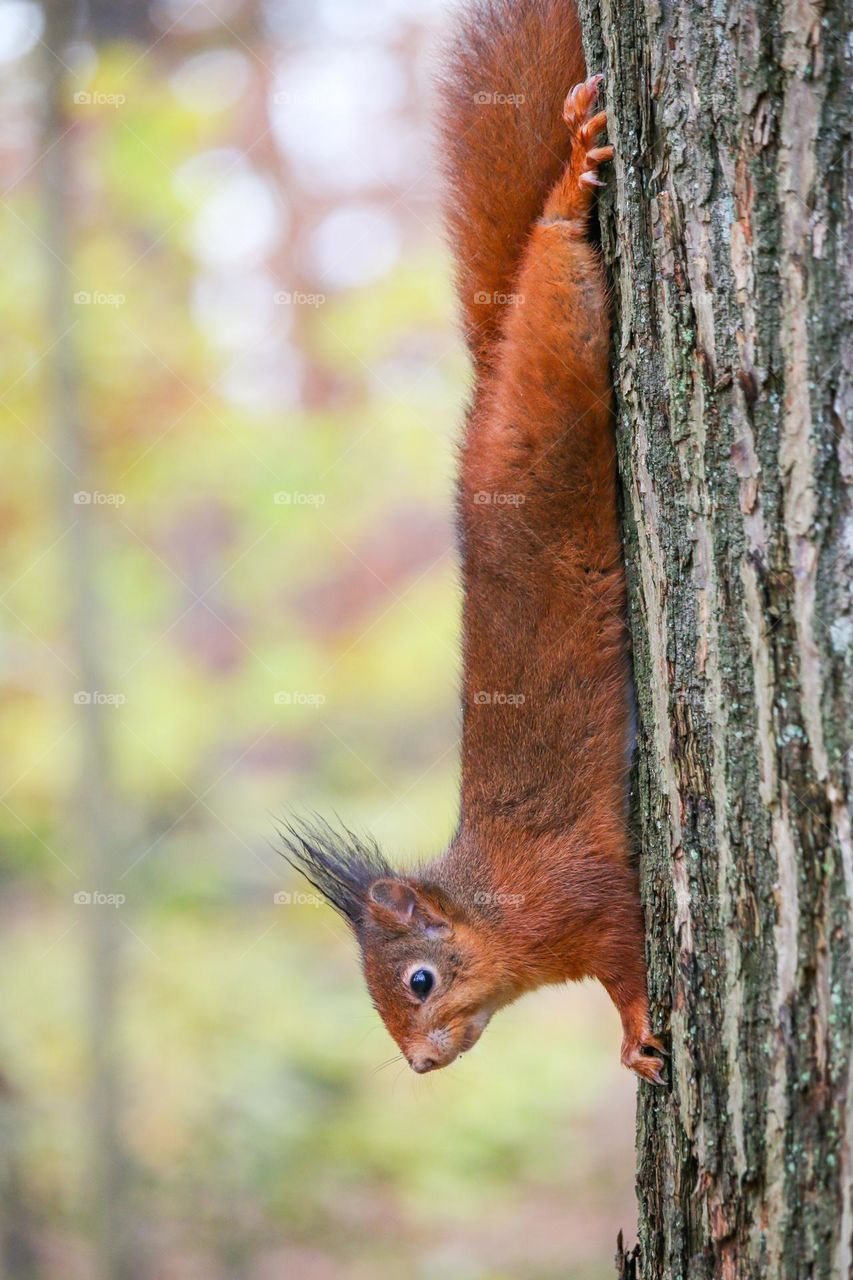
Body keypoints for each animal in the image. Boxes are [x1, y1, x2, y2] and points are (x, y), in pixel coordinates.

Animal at [281, 0, 666, 1087]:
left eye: (417, 980)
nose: (417, 1064)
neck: (498, 910)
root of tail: (486, 388)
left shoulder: (585, 893)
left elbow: (628, 957)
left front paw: (636, 1031)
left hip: (561, 356)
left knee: (553, 250)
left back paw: (572, 176)